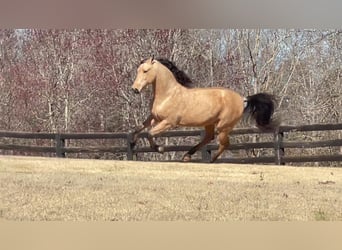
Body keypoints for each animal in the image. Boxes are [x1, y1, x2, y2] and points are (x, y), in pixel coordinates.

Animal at [130, 56, 278, 162]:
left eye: (145, 71)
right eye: (137, 70)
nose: (135, 89)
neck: (168, 94)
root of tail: (243, 99)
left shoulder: (169, 122)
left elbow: (149, 133)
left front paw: (160, 148)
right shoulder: (154, 118)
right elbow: (138, 129)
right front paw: (132, 143)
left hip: (223, 127)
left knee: (224, 144)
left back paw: (210, 160)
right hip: (210, 123)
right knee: (209, 138)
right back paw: (187, 156)